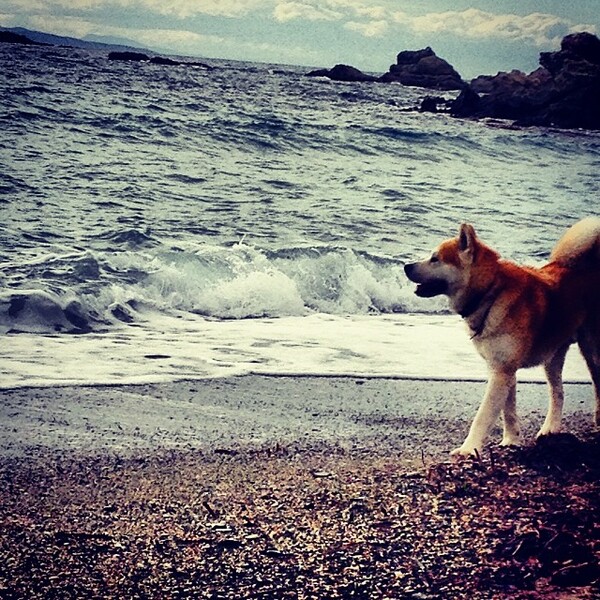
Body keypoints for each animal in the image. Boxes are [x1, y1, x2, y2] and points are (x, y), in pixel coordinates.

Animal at [404, 218, 600, 456]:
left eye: (435, 259)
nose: (406, 266)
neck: (490, 292)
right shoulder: (503, 369)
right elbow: (508, 411)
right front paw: (511, 440)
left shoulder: (501, 372)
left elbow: (483, 416)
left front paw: (468, 449)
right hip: (553, 357)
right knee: (558, 393)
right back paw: (550, 429)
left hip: (591, 350)